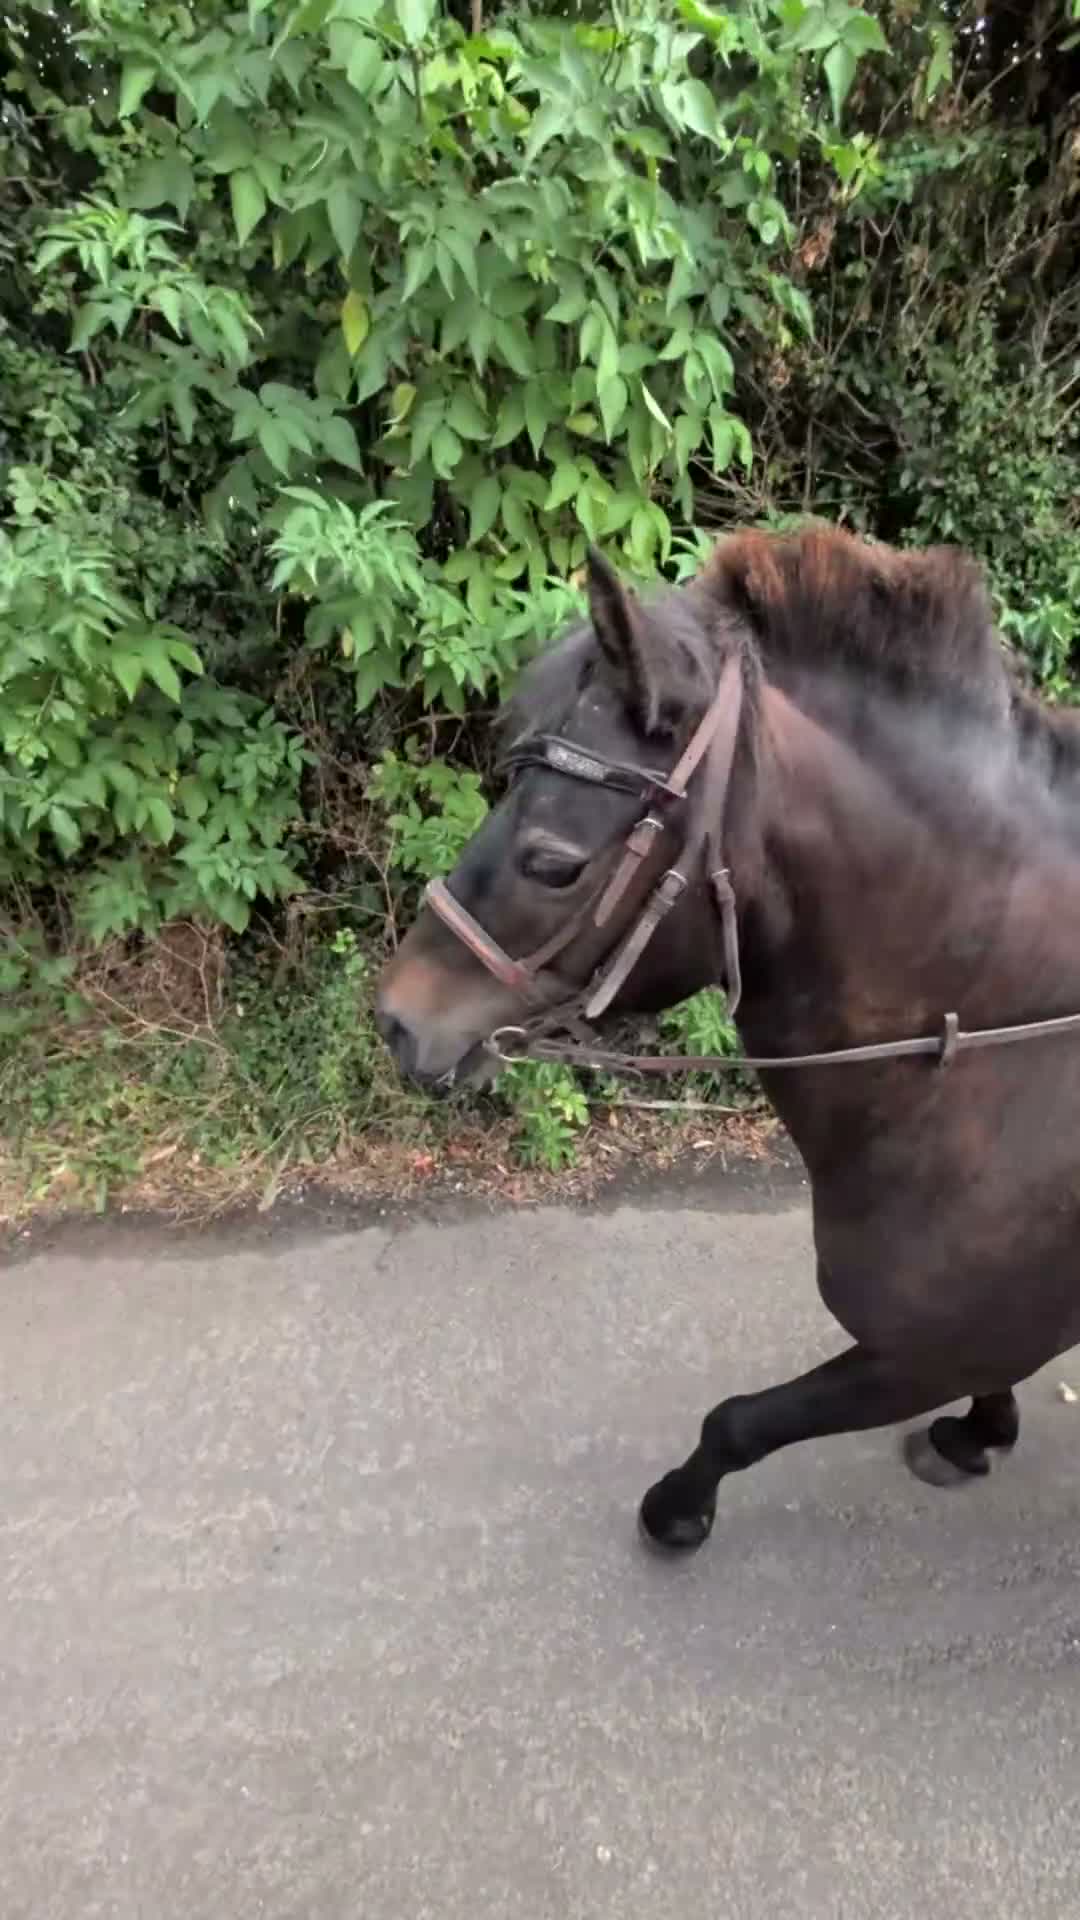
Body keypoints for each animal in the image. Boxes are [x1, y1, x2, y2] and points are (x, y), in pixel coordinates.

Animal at [376, 526, 1080, 1554]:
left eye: (554, 862)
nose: (397, 1018)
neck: (994, 1061)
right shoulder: (968, 1337)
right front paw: (980, 1434)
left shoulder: (920, 1352)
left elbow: (738, 1422)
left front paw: (677, 1507)